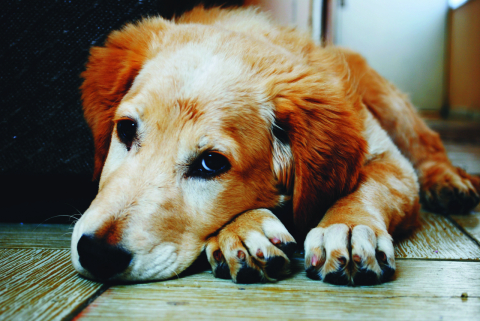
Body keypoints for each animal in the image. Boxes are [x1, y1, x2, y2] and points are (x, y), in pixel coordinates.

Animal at [71, 6, 480, 284]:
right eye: (126, 130)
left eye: (211, 163)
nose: (95, 253)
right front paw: (244, 230)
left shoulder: (391, 162)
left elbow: (368, 187)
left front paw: (347, 226)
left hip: (390, 104)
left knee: (428, 145)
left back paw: (449, 182)